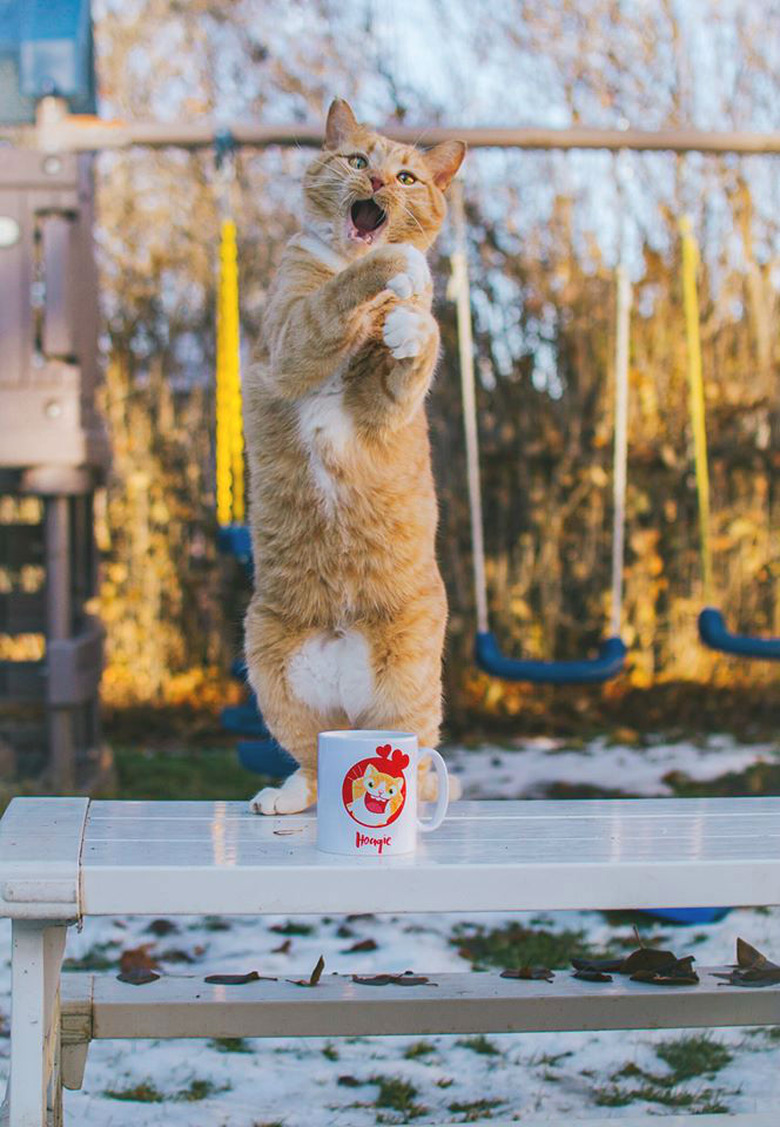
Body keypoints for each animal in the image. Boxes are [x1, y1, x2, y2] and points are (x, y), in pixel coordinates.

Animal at [243, 99, 462, 820]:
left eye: (408, 176)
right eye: (358, 160)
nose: (377, 185)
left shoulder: (383, 405)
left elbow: (417, 347)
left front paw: (410, 319)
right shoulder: (291, 338)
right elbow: (331, 298)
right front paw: (392, 268)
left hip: (409, 680)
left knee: (412, 750)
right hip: (268, 664)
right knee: (312, 759)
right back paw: (287, 797)